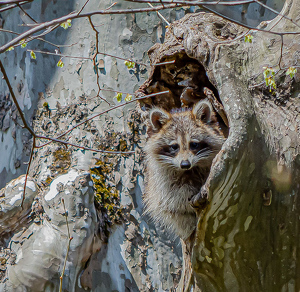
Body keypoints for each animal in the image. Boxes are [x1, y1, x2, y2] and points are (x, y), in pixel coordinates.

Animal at [144, 100, 226, 240]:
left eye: (194, 144)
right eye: (174, 147)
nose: (185, 164)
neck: (190, 170)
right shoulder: (161, 179)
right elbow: (173, 198)